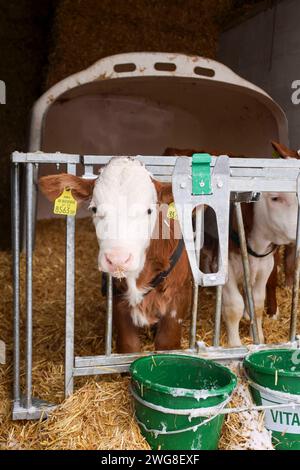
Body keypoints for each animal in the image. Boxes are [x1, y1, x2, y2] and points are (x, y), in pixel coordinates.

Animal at [38, 158, 192, 352]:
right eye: (94, 209)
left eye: (149, 210)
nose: (118, 259)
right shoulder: (118, 300)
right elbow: (128, 346)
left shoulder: (179, 297)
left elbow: (167, 345)